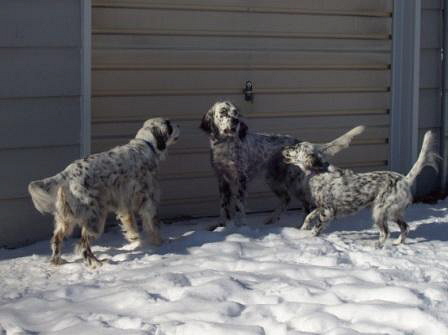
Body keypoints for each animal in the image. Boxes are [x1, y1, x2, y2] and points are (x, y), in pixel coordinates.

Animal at [28, 118, 180, 268]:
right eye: (169, 124)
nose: (179, 124)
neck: (146, 145)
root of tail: (67, 174)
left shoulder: (124, 204)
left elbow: (131, 224)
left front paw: (135, 239)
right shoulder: (149, 200)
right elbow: (153, 225)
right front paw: (160, 243)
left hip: (65, 219)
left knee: (57, 238)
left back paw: (57, 261)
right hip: (95, 217)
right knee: (83, 245)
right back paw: (96, 263)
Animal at [200, 101, 364, 228]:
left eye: (236, 113)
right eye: (223, 112)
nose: (236, 121)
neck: (225, 146)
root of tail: (302, 143)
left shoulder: (241, 178)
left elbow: (239, 205)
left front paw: (241, 226)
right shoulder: (221, 179)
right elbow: (223, 206)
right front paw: (221, 225)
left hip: (292, 182)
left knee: (305, 204)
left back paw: (300, 226)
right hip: (273, 179)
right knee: (286, 199)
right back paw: (272, 218)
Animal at [282, 131, 440, 247]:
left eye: (296, 148)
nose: (283, 148)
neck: (319, 171)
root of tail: (404, 180)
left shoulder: (328, 211)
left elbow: (316, 227)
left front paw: (308, 239)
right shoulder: (321, 206)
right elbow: (309, 216)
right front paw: (302, 229)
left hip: (380, 211)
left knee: (385, 232)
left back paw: (376, 247)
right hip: (394, 212)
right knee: (405, 227)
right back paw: (397, 243)